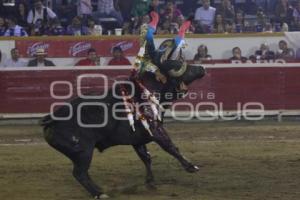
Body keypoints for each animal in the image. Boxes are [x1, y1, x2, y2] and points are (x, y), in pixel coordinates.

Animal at [41, 63, 206, 198]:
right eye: (184, 67)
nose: (202, 68)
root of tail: (52, 119)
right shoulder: (155, 129)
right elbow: (170, 147)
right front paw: (191, 166)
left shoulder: (138, 139)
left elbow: (146, 157)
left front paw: (150, 182)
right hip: (84, 152)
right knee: (79, 174)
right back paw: (99, 193)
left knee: (81, 173)